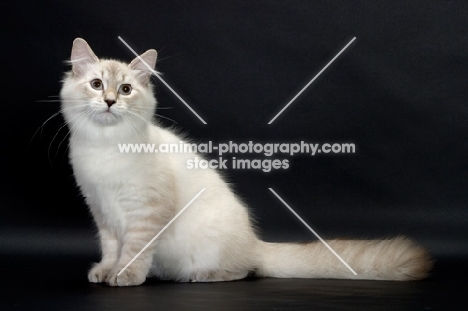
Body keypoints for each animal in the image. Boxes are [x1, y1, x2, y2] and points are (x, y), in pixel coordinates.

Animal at [60, 37, 434, 286]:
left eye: (124, 90)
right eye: (97, 85)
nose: (109, 101)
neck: (105, 147)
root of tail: (256, 243)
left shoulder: (147, 214)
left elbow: (134, 250)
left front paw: (126, 276)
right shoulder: (102, 212)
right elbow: (111, 250)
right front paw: (105, 273)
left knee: (244, 271)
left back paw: (204, 275)